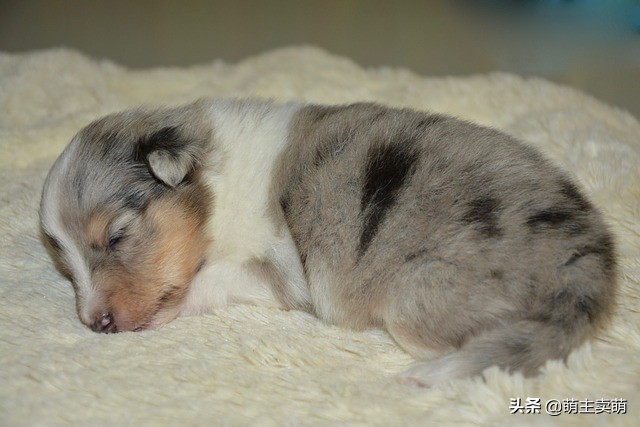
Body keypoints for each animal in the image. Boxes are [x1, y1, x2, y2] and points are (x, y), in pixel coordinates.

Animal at [38, 100, 616, 388]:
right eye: (64, 265)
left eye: (117, 235)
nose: (95, 322)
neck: (218, 186)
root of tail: (590, 261)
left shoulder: (281, 267)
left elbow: (210, 280)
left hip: (417, 295)